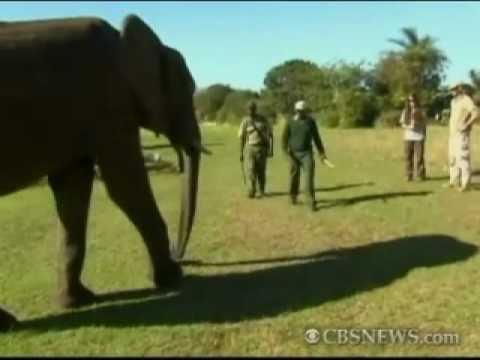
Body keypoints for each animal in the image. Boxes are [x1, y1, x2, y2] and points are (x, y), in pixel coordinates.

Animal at [0, 13, 204, 330]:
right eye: (189, 90)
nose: (181, 255)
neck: (125, 40)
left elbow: (73, 189)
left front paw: (78, 300)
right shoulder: (110, 103)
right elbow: (125, 185)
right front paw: (172, 279)